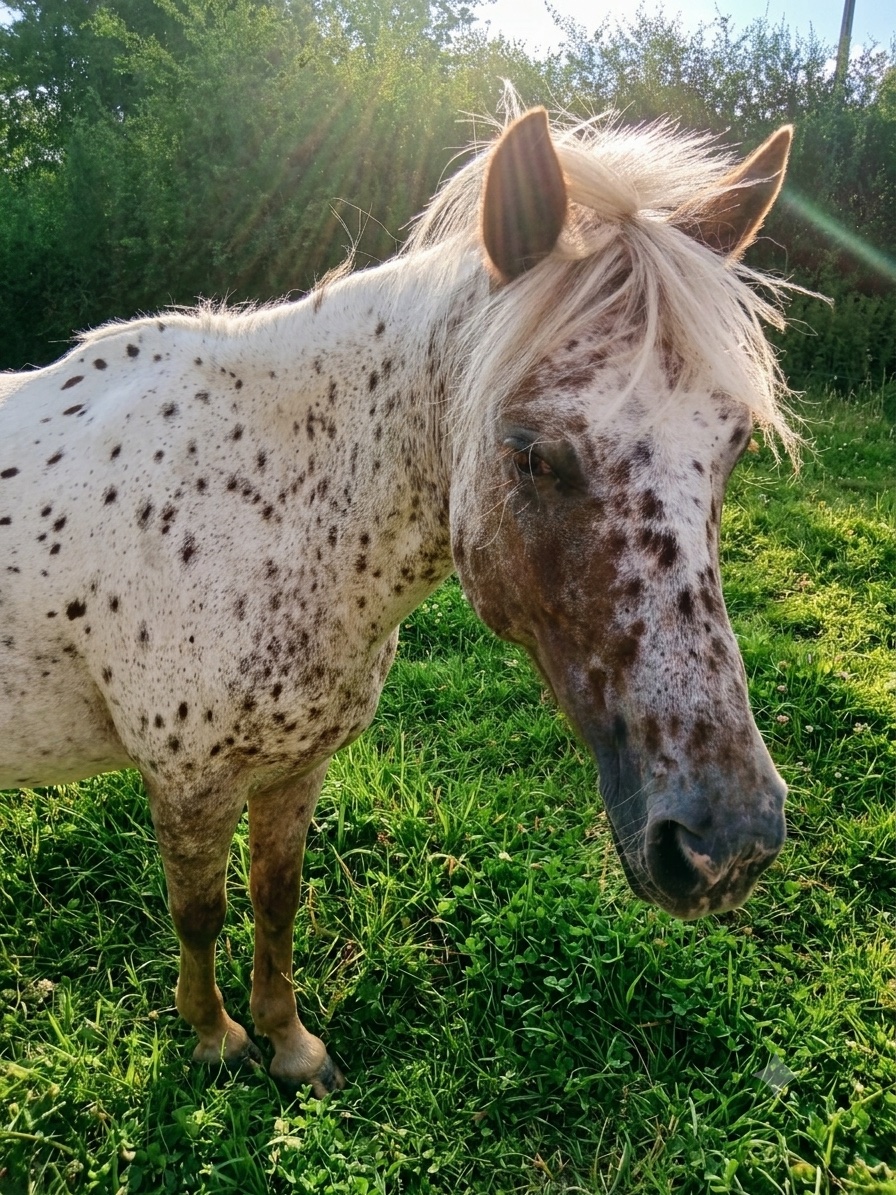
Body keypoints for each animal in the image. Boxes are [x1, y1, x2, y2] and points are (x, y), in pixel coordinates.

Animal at [0, 101, 796, 1096]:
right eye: (530, 451)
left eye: (734, 444)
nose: (726, 843)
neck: (253, 503)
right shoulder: (188, 779)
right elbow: (200, 911)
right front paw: (216, 1038)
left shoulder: (295, 765)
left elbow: (275, 899)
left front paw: (290, 1043)